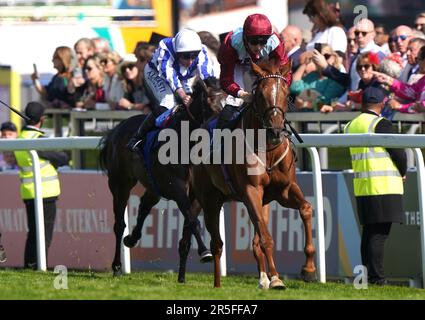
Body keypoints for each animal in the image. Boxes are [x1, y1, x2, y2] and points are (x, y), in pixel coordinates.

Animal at [99, 78, 224, 280]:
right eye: (213, 106)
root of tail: (116, 130)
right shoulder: (177, 189)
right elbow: (193, 221)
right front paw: (205, 252)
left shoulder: (196, 195)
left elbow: (188, 227)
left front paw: (182, 277)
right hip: (120, 184)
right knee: (119, 224)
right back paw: (117, 266)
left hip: (153, 185)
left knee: (144, 205)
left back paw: (132, 239)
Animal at [190, 58, 316, 288]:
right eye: (261, 94)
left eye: (286, 92)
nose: (275, 131)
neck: (268, 150)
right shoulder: (251, 190)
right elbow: (266, 238)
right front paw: (276, 278)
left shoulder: (284, 190)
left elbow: (306, 209)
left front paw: (308, 269)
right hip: (210, 200)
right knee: (216, 244)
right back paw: (217, 285)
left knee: (254, 237)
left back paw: (262, 278)